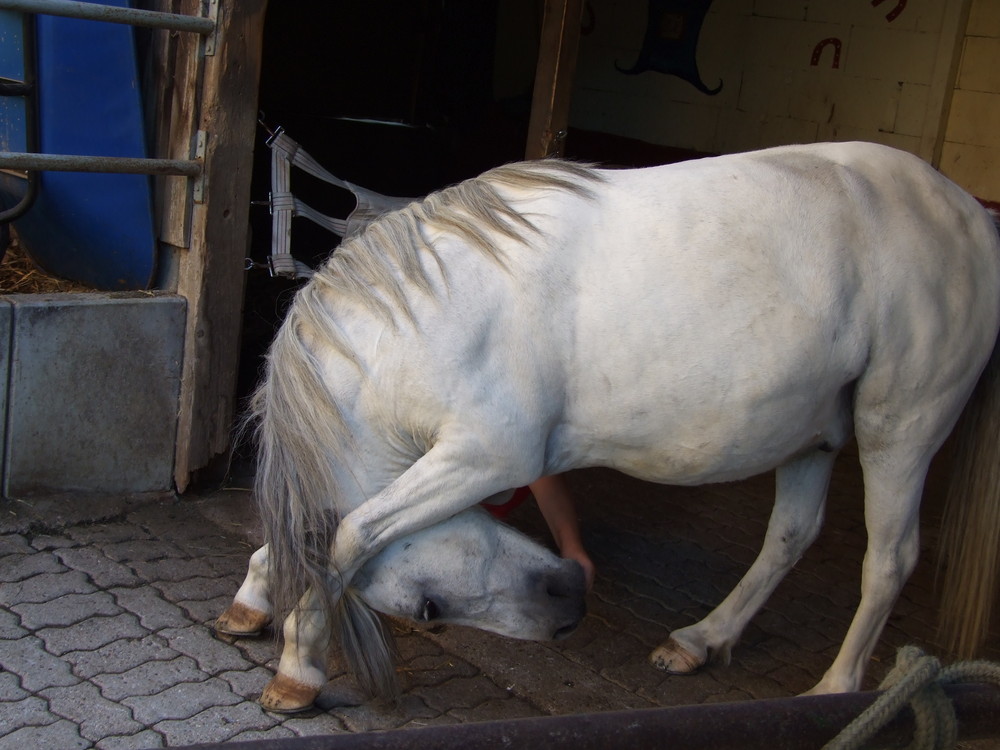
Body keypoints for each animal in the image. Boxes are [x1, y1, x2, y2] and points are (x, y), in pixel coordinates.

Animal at [219, 144, 1000, 712]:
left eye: (429, 613)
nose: (567, 603)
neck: (420, 321)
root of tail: (970, 216)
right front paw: (255, 600)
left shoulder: (484, 459)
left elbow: (348, 539)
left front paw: (299, 665)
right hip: (813, 434)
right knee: (790, 537)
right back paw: (703, 639)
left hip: (900, 429)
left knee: (889, 560)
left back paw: (834, 692)